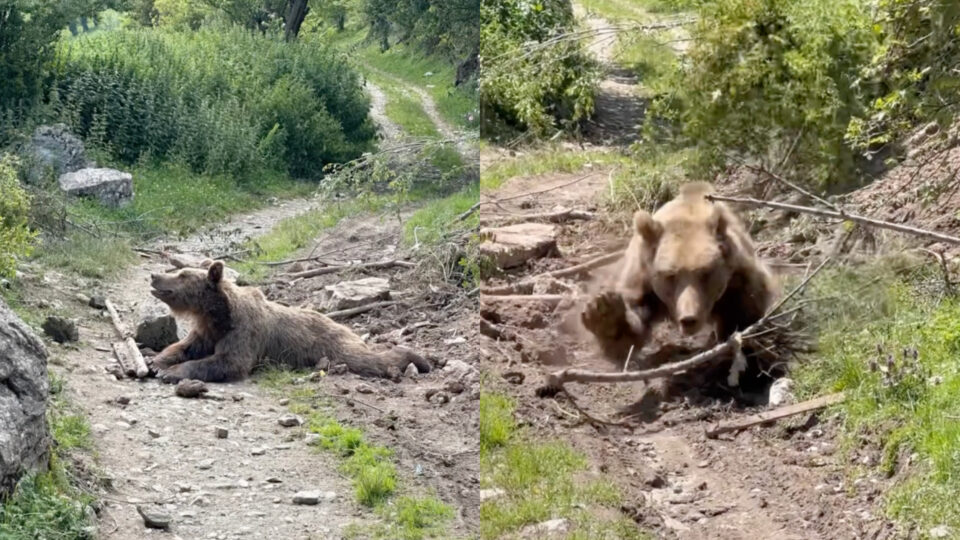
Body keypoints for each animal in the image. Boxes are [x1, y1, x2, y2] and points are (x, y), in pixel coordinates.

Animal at [147, 262, 432, 384]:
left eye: (182, 274)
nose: (154, 275)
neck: (217, 315)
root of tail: (344, 326)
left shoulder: (244, 332)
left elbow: (228, 362)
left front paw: (171, 372)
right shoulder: (207, 330)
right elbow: (184, 347)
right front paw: (156, 362)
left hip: (333, 344)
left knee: (368, 359)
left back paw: (420, 359)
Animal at [580, 181, 776, 372]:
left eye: (706, 272)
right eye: (670, 275)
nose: (689, 319)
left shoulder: (739, 277)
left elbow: (744, 308)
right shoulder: (642, 277)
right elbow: (630, 327)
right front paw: (605, 315)